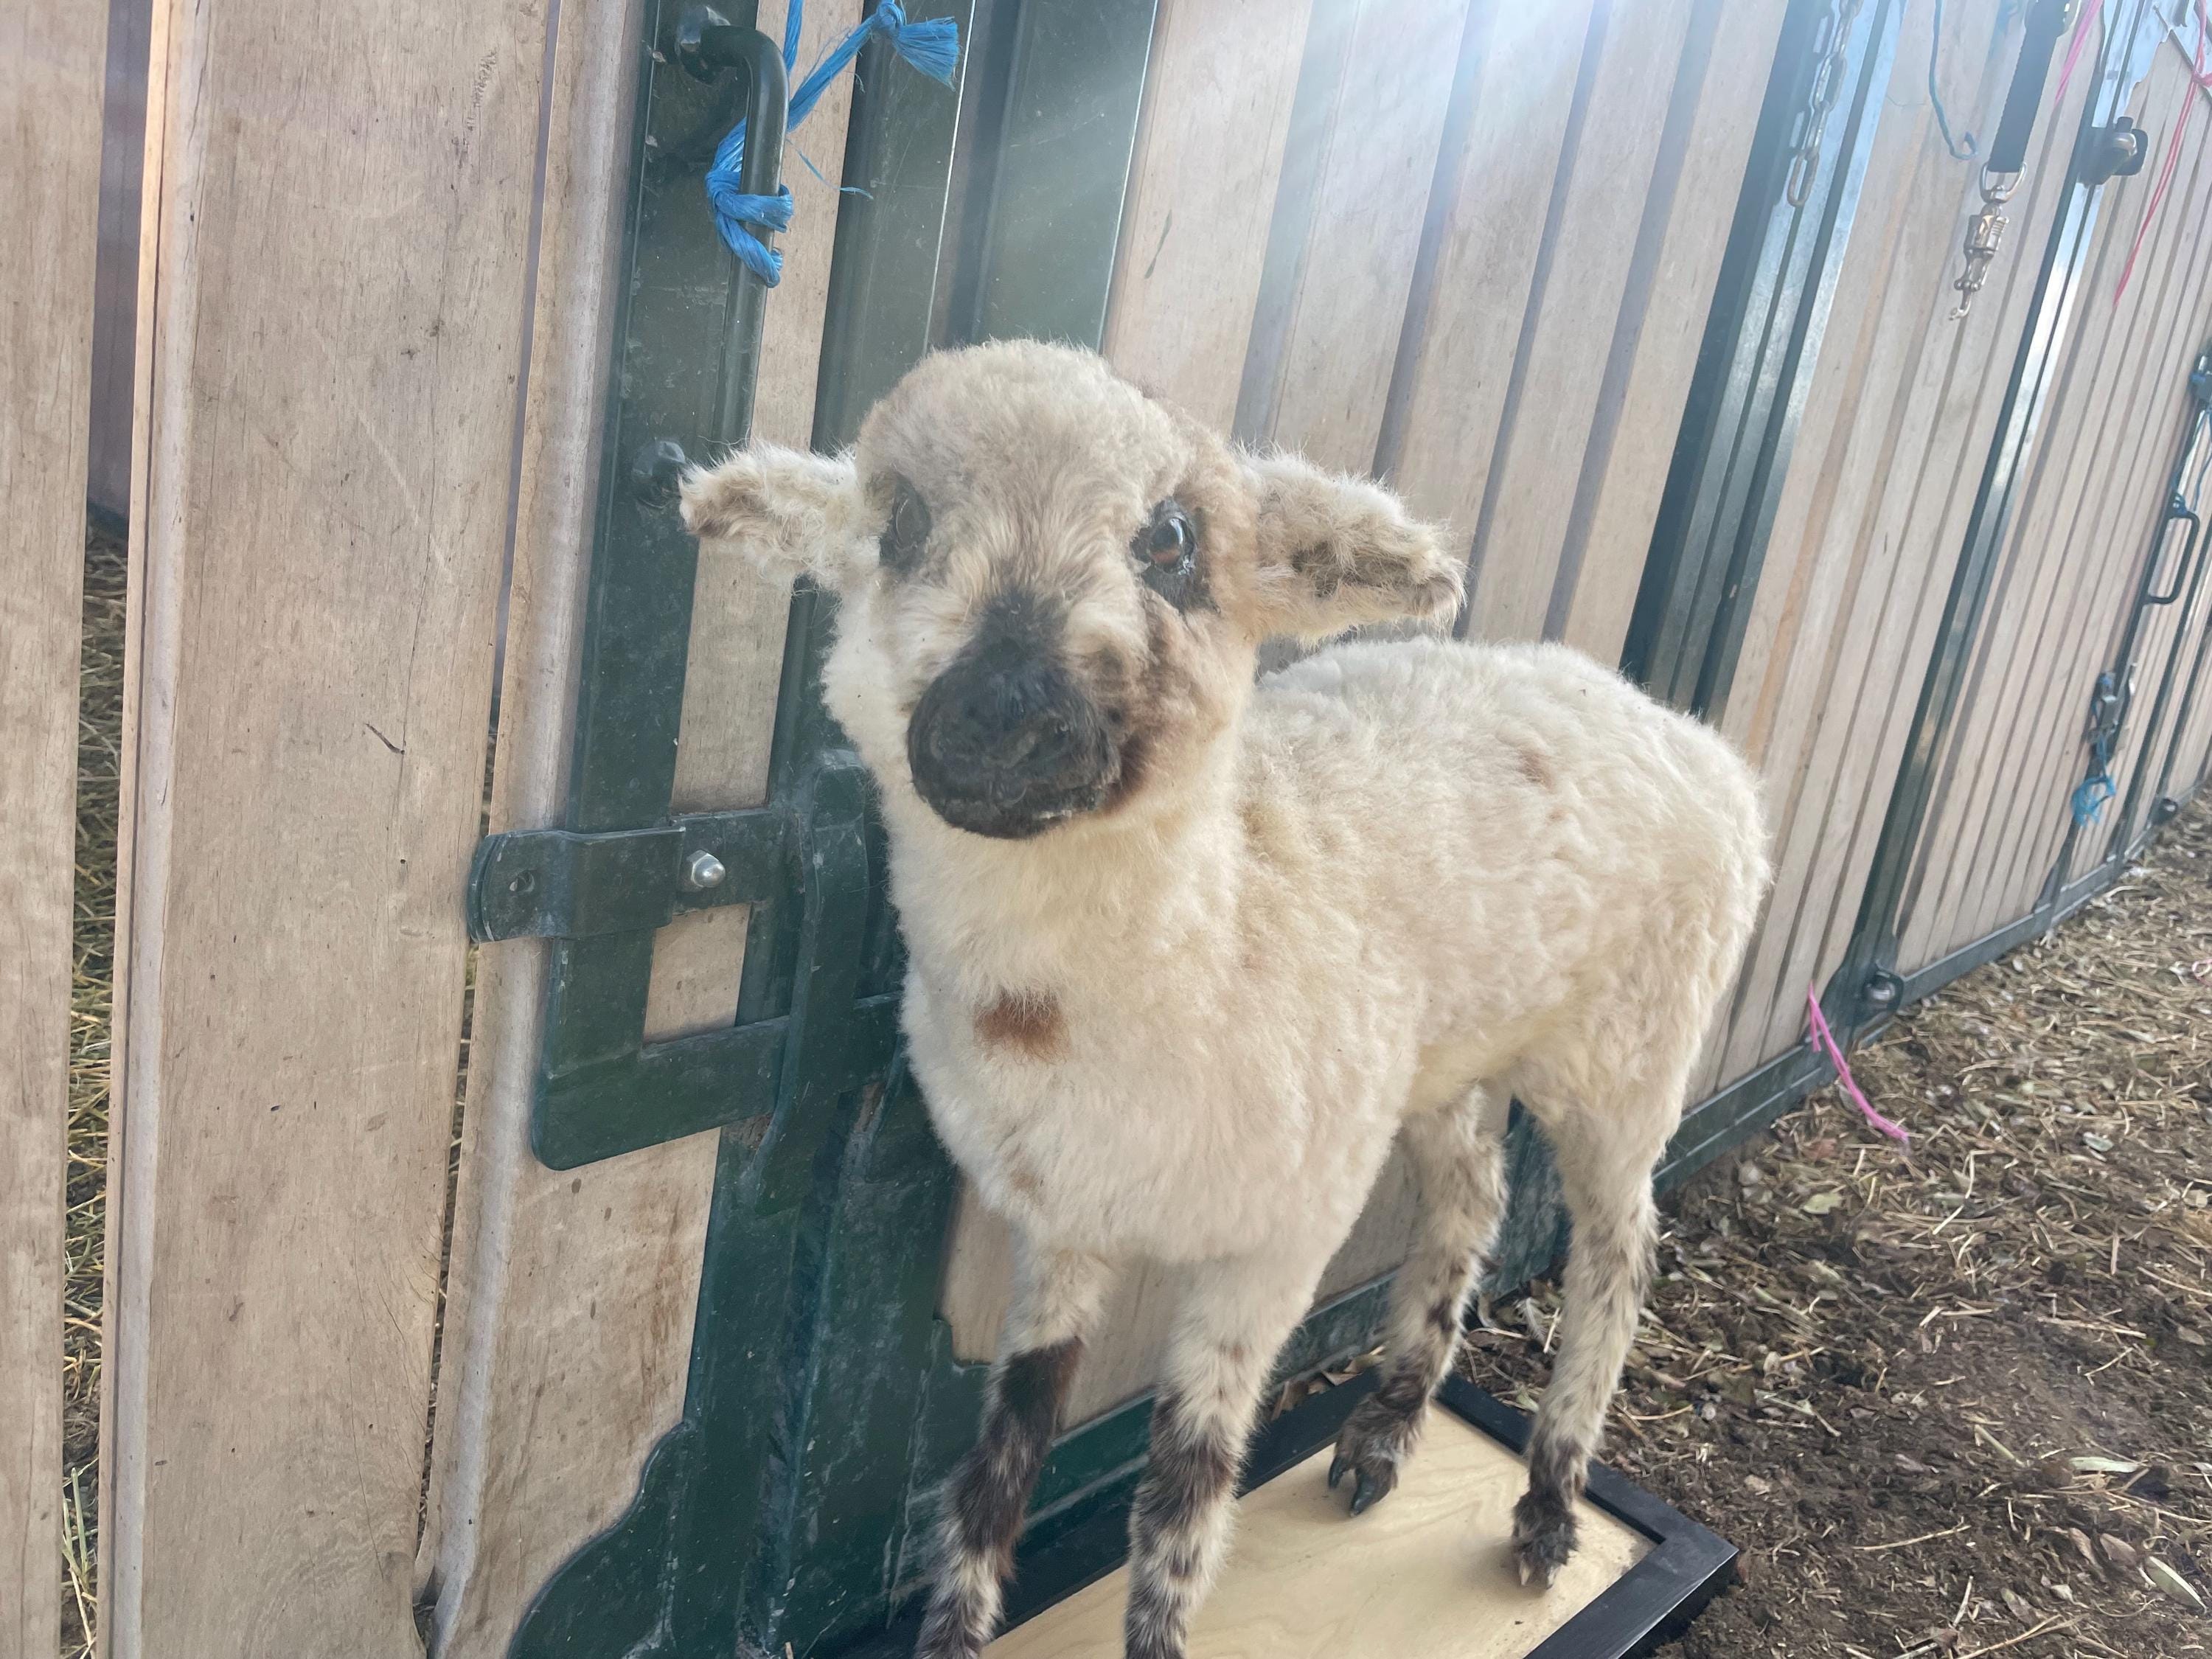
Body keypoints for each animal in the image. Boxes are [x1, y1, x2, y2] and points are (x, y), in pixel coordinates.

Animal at [678, 339, 1771, 1659]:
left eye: (1170, 540)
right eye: (901, 525)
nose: (1008, 709)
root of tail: (1683, 728)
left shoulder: (1277, 1242)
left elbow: (1185, 1491)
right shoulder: (1059, 1213)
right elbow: (1000, 1461)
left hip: (1638, 1044)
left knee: (1617, 1252)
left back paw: (1550, 1505)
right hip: (1438, 1050)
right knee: (1472, 1190)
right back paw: (1384, 1431)